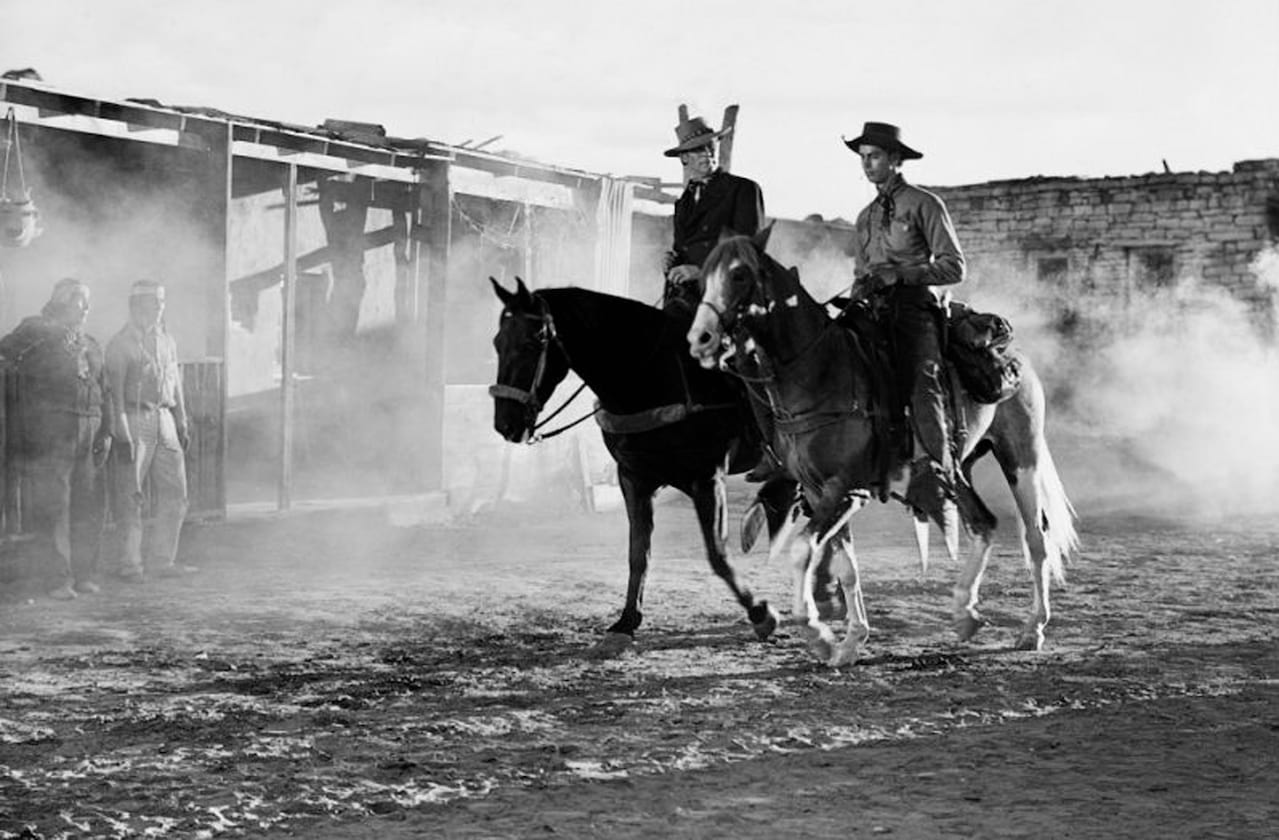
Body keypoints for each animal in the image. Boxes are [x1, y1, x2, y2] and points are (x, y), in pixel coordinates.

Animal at [488, 277, 798, 654]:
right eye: (498, 342)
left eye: (533, 342)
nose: (505, 423)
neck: (651, 376)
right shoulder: (634, 479)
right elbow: (638, 553)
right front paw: (625, 622)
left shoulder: (707, 479)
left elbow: (717, 554)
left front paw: (761, 614)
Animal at [685, 226, 1074, 664]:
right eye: (702, 279)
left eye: (738, 275)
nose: (700, 339)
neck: (820, 372)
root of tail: (1015, 354)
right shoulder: (820, 492)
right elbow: (845, 565)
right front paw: (850, 642)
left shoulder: (844, 488)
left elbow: (803, 550)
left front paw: (818, 633)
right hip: (957, 466)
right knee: (984, 523)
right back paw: (966, 613)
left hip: (1021, 454)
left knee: (1035, 537)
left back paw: (1031, 627)